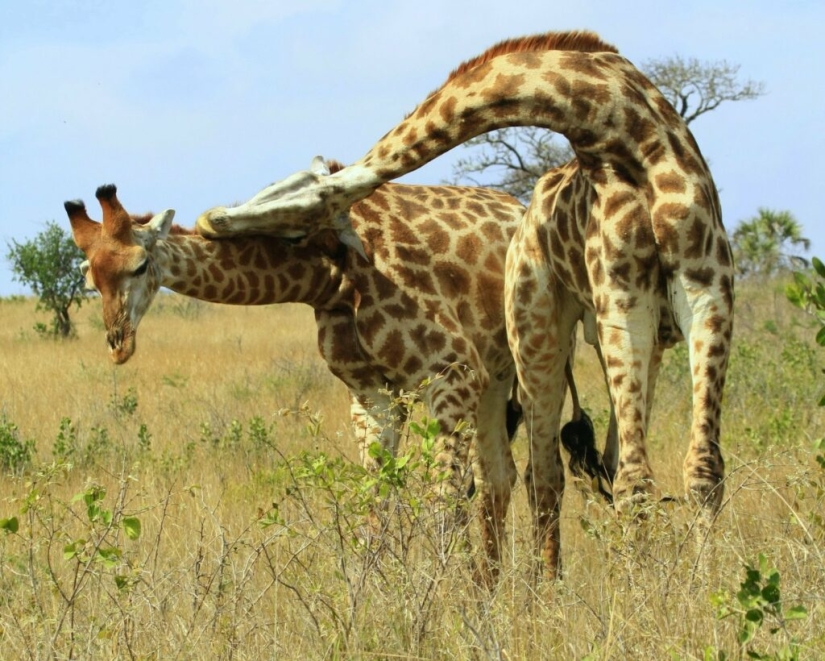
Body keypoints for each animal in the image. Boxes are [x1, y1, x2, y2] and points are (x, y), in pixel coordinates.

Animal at [64, 174, 606, 582]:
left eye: (140, 266)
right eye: (91, 276)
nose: (118, 345)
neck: (330, 276)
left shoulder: (450, 373)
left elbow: (441, 504)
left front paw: (445, 609)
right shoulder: (371, 392)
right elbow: (376, 503)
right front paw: (379, 600)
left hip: (540, 350)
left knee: (542, 475)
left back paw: (542, 592)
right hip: (495, 375)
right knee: (500, 477)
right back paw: (490, 589)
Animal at [195, 30, 734, 577]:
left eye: (297, 211)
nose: (210, 219)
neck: (628, 134)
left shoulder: (708, 293)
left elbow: (701, 469)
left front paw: (698, 584)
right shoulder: (624, 302)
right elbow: (636, 478)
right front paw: (648, 586)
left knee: (576, 464)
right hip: (538, 335)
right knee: (545, 473)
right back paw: (545, 589)